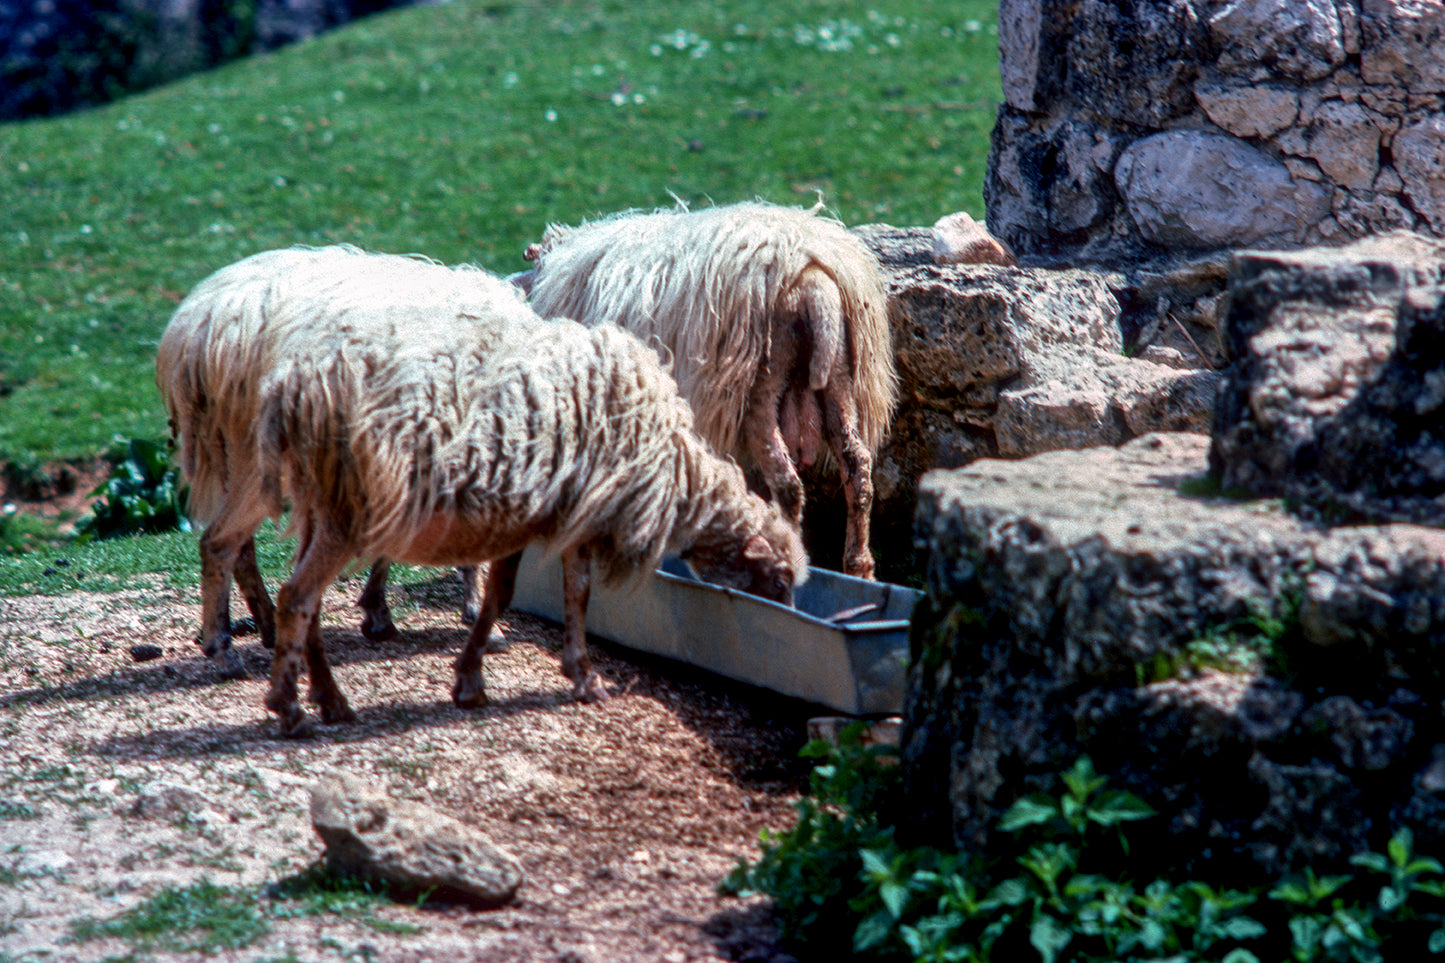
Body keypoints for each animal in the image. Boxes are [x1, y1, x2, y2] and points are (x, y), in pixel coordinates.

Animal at [153, 241, 537, 673]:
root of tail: (200, 326)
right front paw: (479, 618)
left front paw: (377, 611)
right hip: (255, 449)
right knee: (220, 541)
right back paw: (225, 647)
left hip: (237, 454)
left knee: (239, 545)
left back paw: (267, 627)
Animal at [254, 316, 809, 734]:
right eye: (779, 580)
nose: (788, 627)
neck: (674, 473)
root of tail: (295, 388)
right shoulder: (580, 516)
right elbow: (578, 595)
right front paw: (583, 678)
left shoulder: (523, 519)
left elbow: (501, 595)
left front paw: (471, 681)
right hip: (349, 511)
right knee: (297, 597)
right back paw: (290, 707)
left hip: (320, 509)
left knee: (308, 603)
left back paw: (330, 700)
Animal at [525, 196, 895, 578]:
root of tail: (813, 282)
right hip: (840, 379)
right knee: (857, 468)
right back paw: (859, 566)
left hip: (759, 388)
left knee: (788, 484)